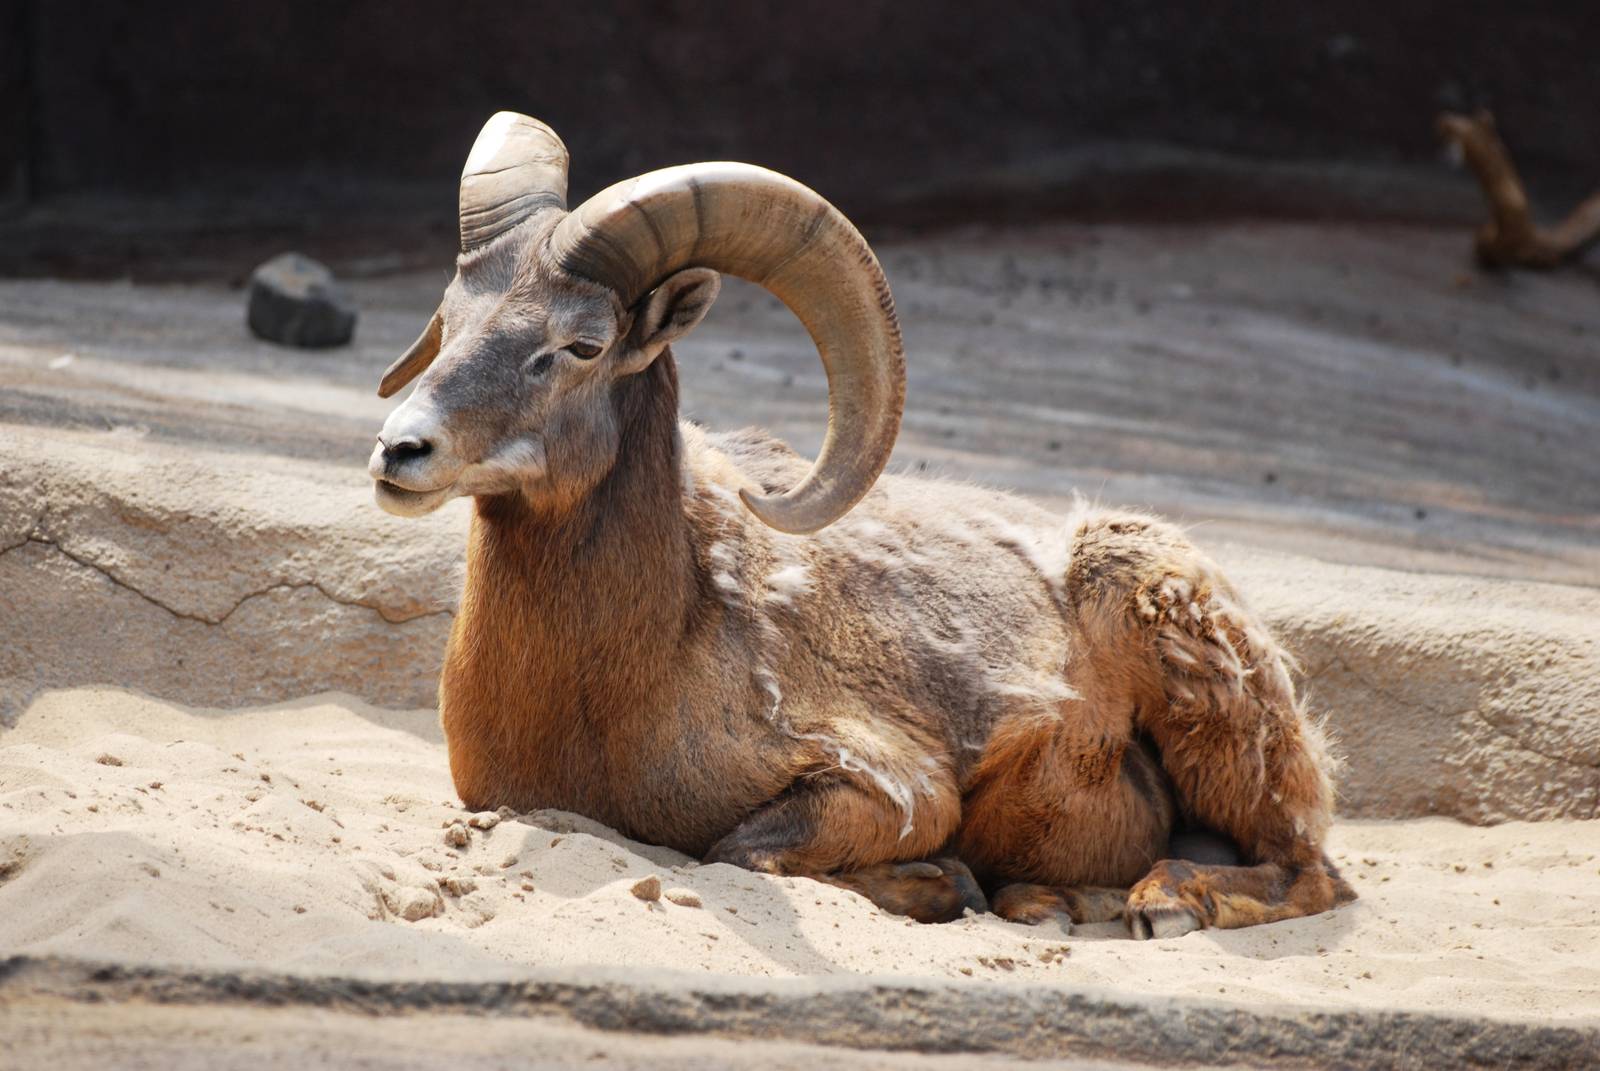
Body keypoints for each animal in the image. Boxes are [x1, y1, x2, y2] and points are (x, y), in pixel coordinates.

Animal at [369, 112, 1355, 935]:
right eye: (451, 318)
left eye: (581, 344)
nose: (400, 450)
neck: (614, 684)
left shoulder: (887, 785)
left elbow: (741, 849)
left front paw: (947, 882)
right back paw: (1052, 896)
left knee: (1309, 869)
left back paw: (1157, 901)